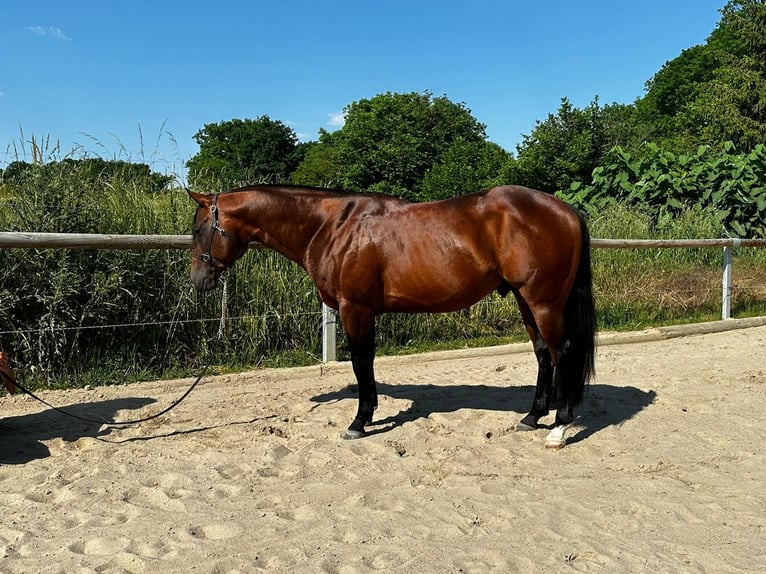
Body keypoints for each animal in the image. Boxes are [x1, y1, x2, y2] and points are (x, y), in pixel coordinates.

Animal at [189, 184, 596, 450]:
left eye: (198, 229)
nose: (198, 280)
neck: (333, 227)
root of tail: (567, 210)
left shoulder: (355, 308)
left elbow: (360, 361)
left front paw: (359, 421)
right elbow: (365, 362)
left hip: (543, 301)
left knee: (562, 352)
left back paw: (558, 428)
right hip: (525, 300)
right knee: (543, 354)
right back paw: (532, 417)